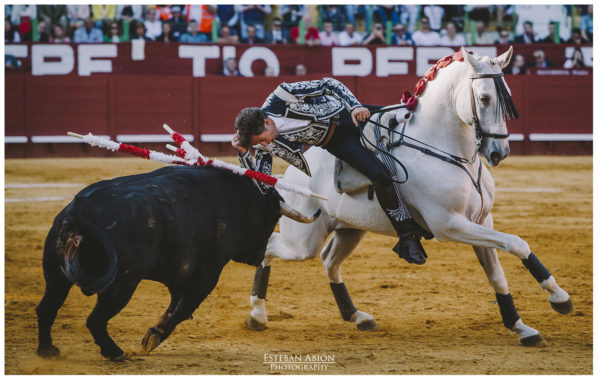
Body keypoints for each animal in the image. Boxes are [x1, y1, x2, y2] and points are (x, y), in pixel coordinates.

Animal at [35, 166, 290, 360]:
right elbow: (183, 308)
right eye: (274, 216)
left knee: (47, 307)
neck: (233, 198)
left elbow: (176, 306)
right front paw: (153, 338)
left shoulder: (180, 276)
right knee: (95, 320)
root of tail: (78, 210)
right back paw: (116, 353)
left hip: (56, 275)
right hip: (122, 283)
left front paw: (152, 336)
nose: (259, 255)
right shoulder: (207, 274)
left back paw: (47, 350)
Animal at [246, 46, 576, 344]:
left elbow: (497, 274)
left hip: (349, 229)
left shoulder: (483, 221)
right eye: (484, 98)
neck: (445, 149)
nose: (499, 152)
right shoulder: (450, 225)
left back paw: (357, 316)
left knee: (329, 261)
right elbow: (517, 243)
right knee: (272, 246)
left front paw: (522, 325)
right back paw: (257, 315)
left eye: (507, 95)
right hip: (302, 241)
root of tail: (289, 175)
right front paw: (560, 299)